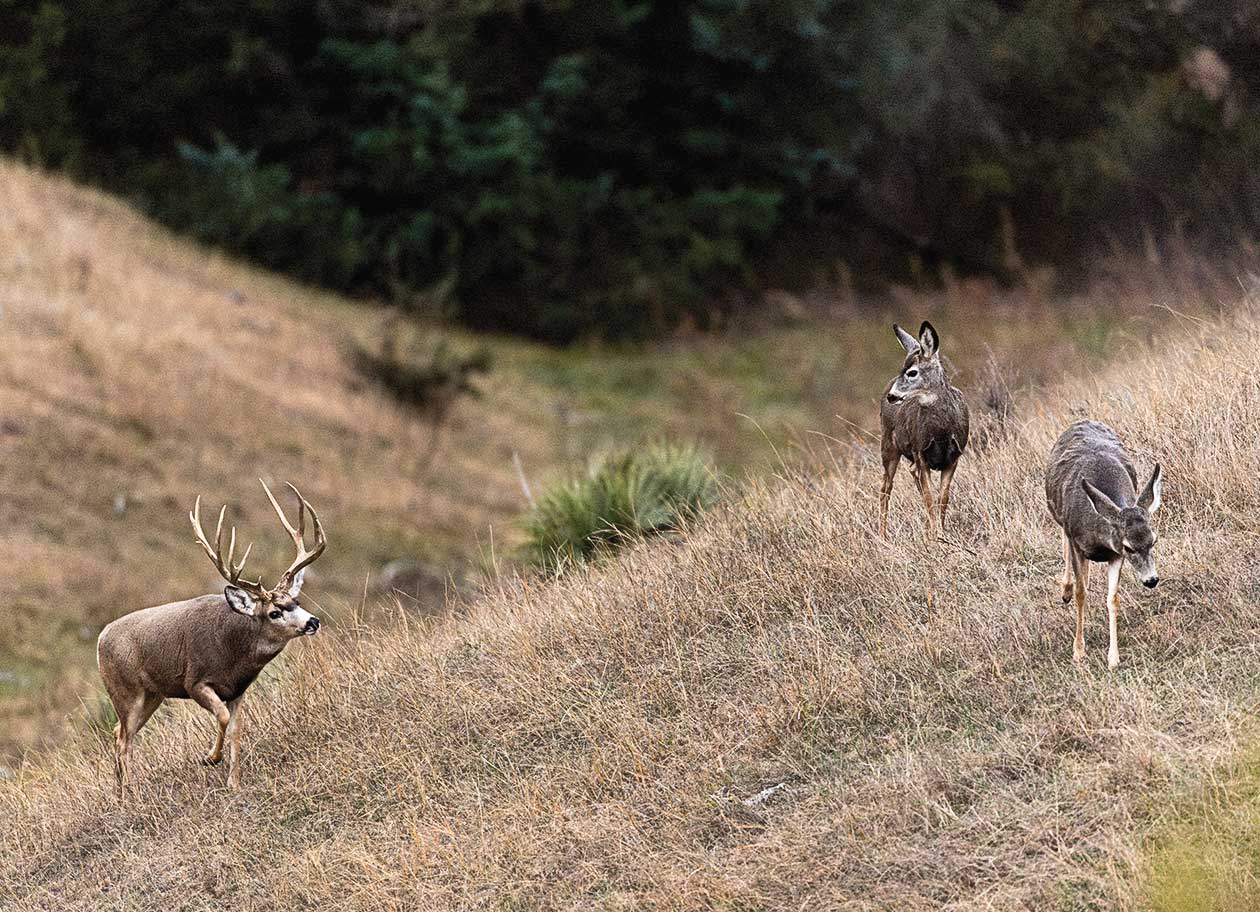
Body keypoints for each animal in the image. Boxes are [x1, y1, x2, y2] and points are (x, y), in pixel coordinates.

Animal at [96, 481, 327, 796]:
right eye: (274, 612)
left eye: (297, 600)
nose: (312, 621)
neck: (234, 654)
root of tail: (100, 638)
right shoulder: (194, 680)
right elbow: (223, 717)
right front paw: (209, 758)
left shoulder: (238, 690)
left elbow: (237, 729)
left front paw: (234, 782)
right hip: (125, 689)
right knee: (124, 739)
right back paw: (131, 794)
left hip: (153, 694)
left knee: (119, 731)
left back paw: (120, 792)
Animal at [882, 321, 967, 539]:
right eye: (902, 368)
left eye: (912, 372)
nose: (892, 396)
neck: (942, 431)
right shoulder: (921, 455)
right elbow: (929, 498)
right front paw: (935, 537)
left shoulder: (954, 457)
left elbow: (942, 498)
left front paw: (940, 532)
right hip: (888, 445)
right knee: (886, 487)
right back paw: (882, 535)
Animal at [1043, 420, 1159, 670]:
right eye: (1129, 547)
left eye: (1153, 540)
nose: (1152, 580)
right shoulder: (1078, 542)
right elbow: (1081, 593)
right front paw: (1078, 651)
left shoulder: (1115, 555)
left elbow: (1112, 598)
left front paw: (1113, 657)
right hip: (1061, 518)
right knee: (1064, 542)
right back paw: (1065, 589)